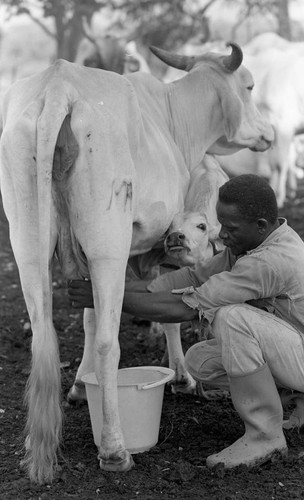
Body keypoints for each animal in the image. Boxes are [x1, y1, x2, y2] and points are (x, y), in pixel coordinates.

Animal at [0, 44, 274, 484]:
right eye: (249, 86)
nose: (268, 133)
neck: (173, 118)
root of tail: (59, 84)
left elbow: (89, 316)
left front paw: (80, 387)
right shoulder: (157, 244)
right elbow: (167, 315)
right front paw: (181, 378)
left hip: (27, 244)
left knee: (44, 336)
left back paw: (35, 448)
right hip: (108, 244)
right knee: (109, 343)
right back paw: (115, 450)